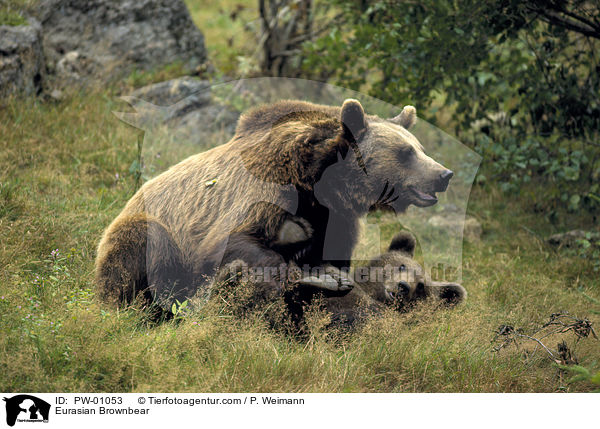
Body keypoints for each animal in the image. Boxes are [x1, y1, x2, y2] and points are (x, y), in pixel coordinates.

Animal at [95, 97, 450, 310]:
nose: (444, 174)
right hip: (147, 230)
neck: (317, 181)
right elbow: (232, 241)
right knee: (139, 253)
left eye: (420, 148)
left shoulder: (335, 216)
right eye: (406, 153)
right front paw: (316, 276)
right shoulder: (267, 186)